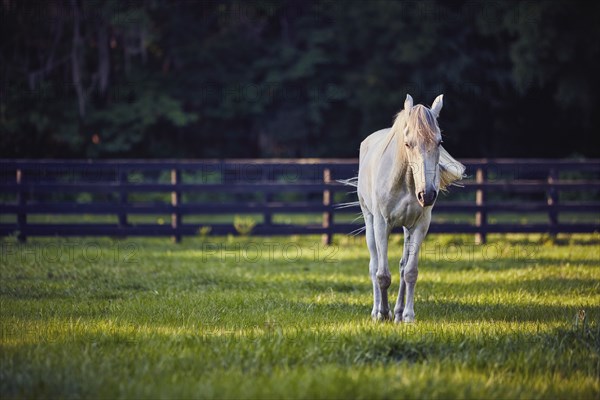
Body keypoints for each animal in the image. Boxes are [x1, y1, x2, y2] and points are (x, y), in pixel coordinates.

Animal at [352, 94, 464, 322]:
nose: (427, 194)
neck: (405, 181)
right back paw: (377, 311)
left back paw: (397, 313)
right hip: (369, 220)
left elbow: (410, 271)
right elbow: (382, 275)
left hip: (406, 228)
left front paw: (407, 316)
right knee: (374, 265)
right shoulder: (381, 224)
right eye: (407, 143)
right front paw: (382, 313)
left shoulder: (420, 225)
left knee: (403, 267)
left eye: (439, 142)